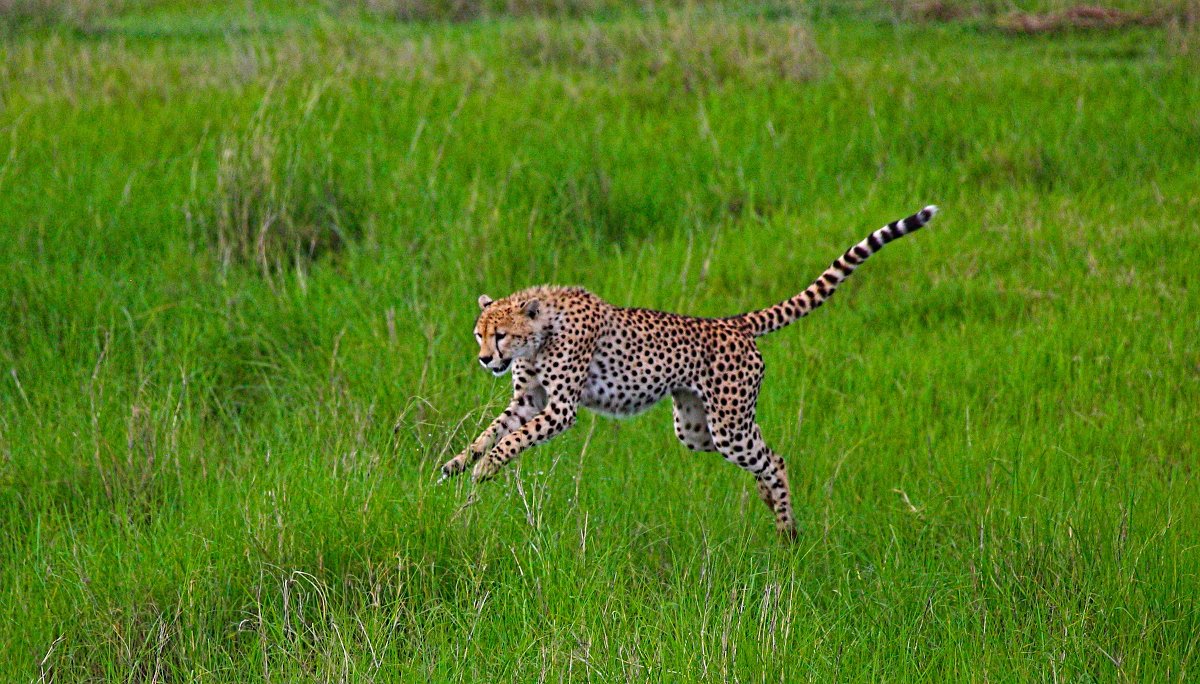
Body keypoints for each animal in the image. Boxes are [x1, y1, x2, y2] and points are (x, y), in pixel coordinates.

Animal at [441, 205, 936, 535]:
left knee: (775, 459)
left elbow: (514, 439)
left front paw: (488, 468)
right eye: (479, 334)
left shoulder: (560, 408)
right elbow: (491, 430)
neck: (542, 327)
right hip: (698, 428)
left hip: (727, 427)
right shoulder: (529, 399)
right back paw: (770, 505)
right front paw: (459, 462)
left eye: (500, 335)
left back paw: (786, 530)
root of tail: (732, 321)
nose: (484, 359)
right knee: (762, 452)